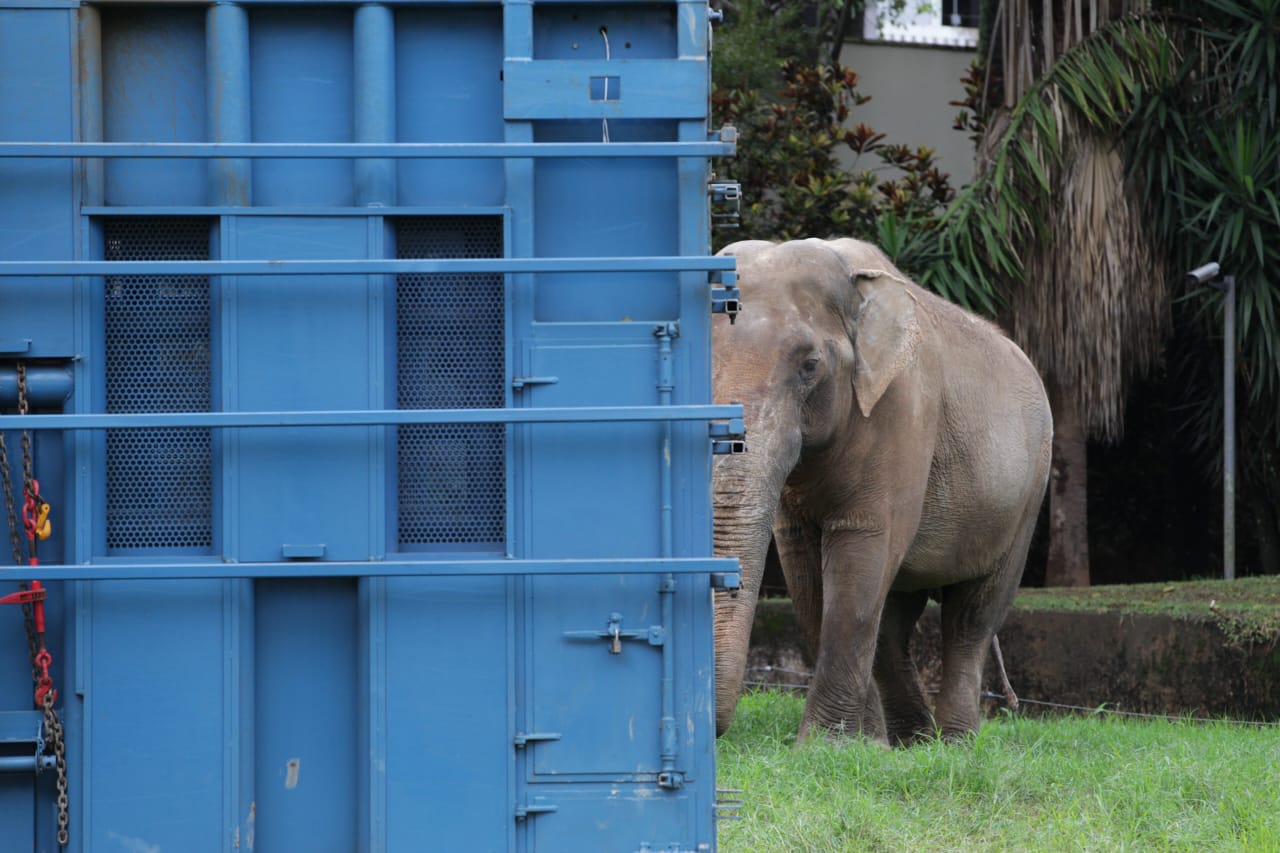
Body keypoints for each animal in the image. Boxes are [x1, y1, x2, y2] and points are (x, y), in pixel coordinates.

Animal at [711, 237, 1052, 746]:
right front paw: (860, 744)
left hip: (1027, 495)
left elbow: (863, 548)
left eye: (810, 366)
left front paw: (829, 744)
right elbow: (804, 568)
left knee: (972, 615)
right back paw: (911, 739)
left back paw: (954, 741)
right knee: (894, 620)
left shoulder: (903, 409)